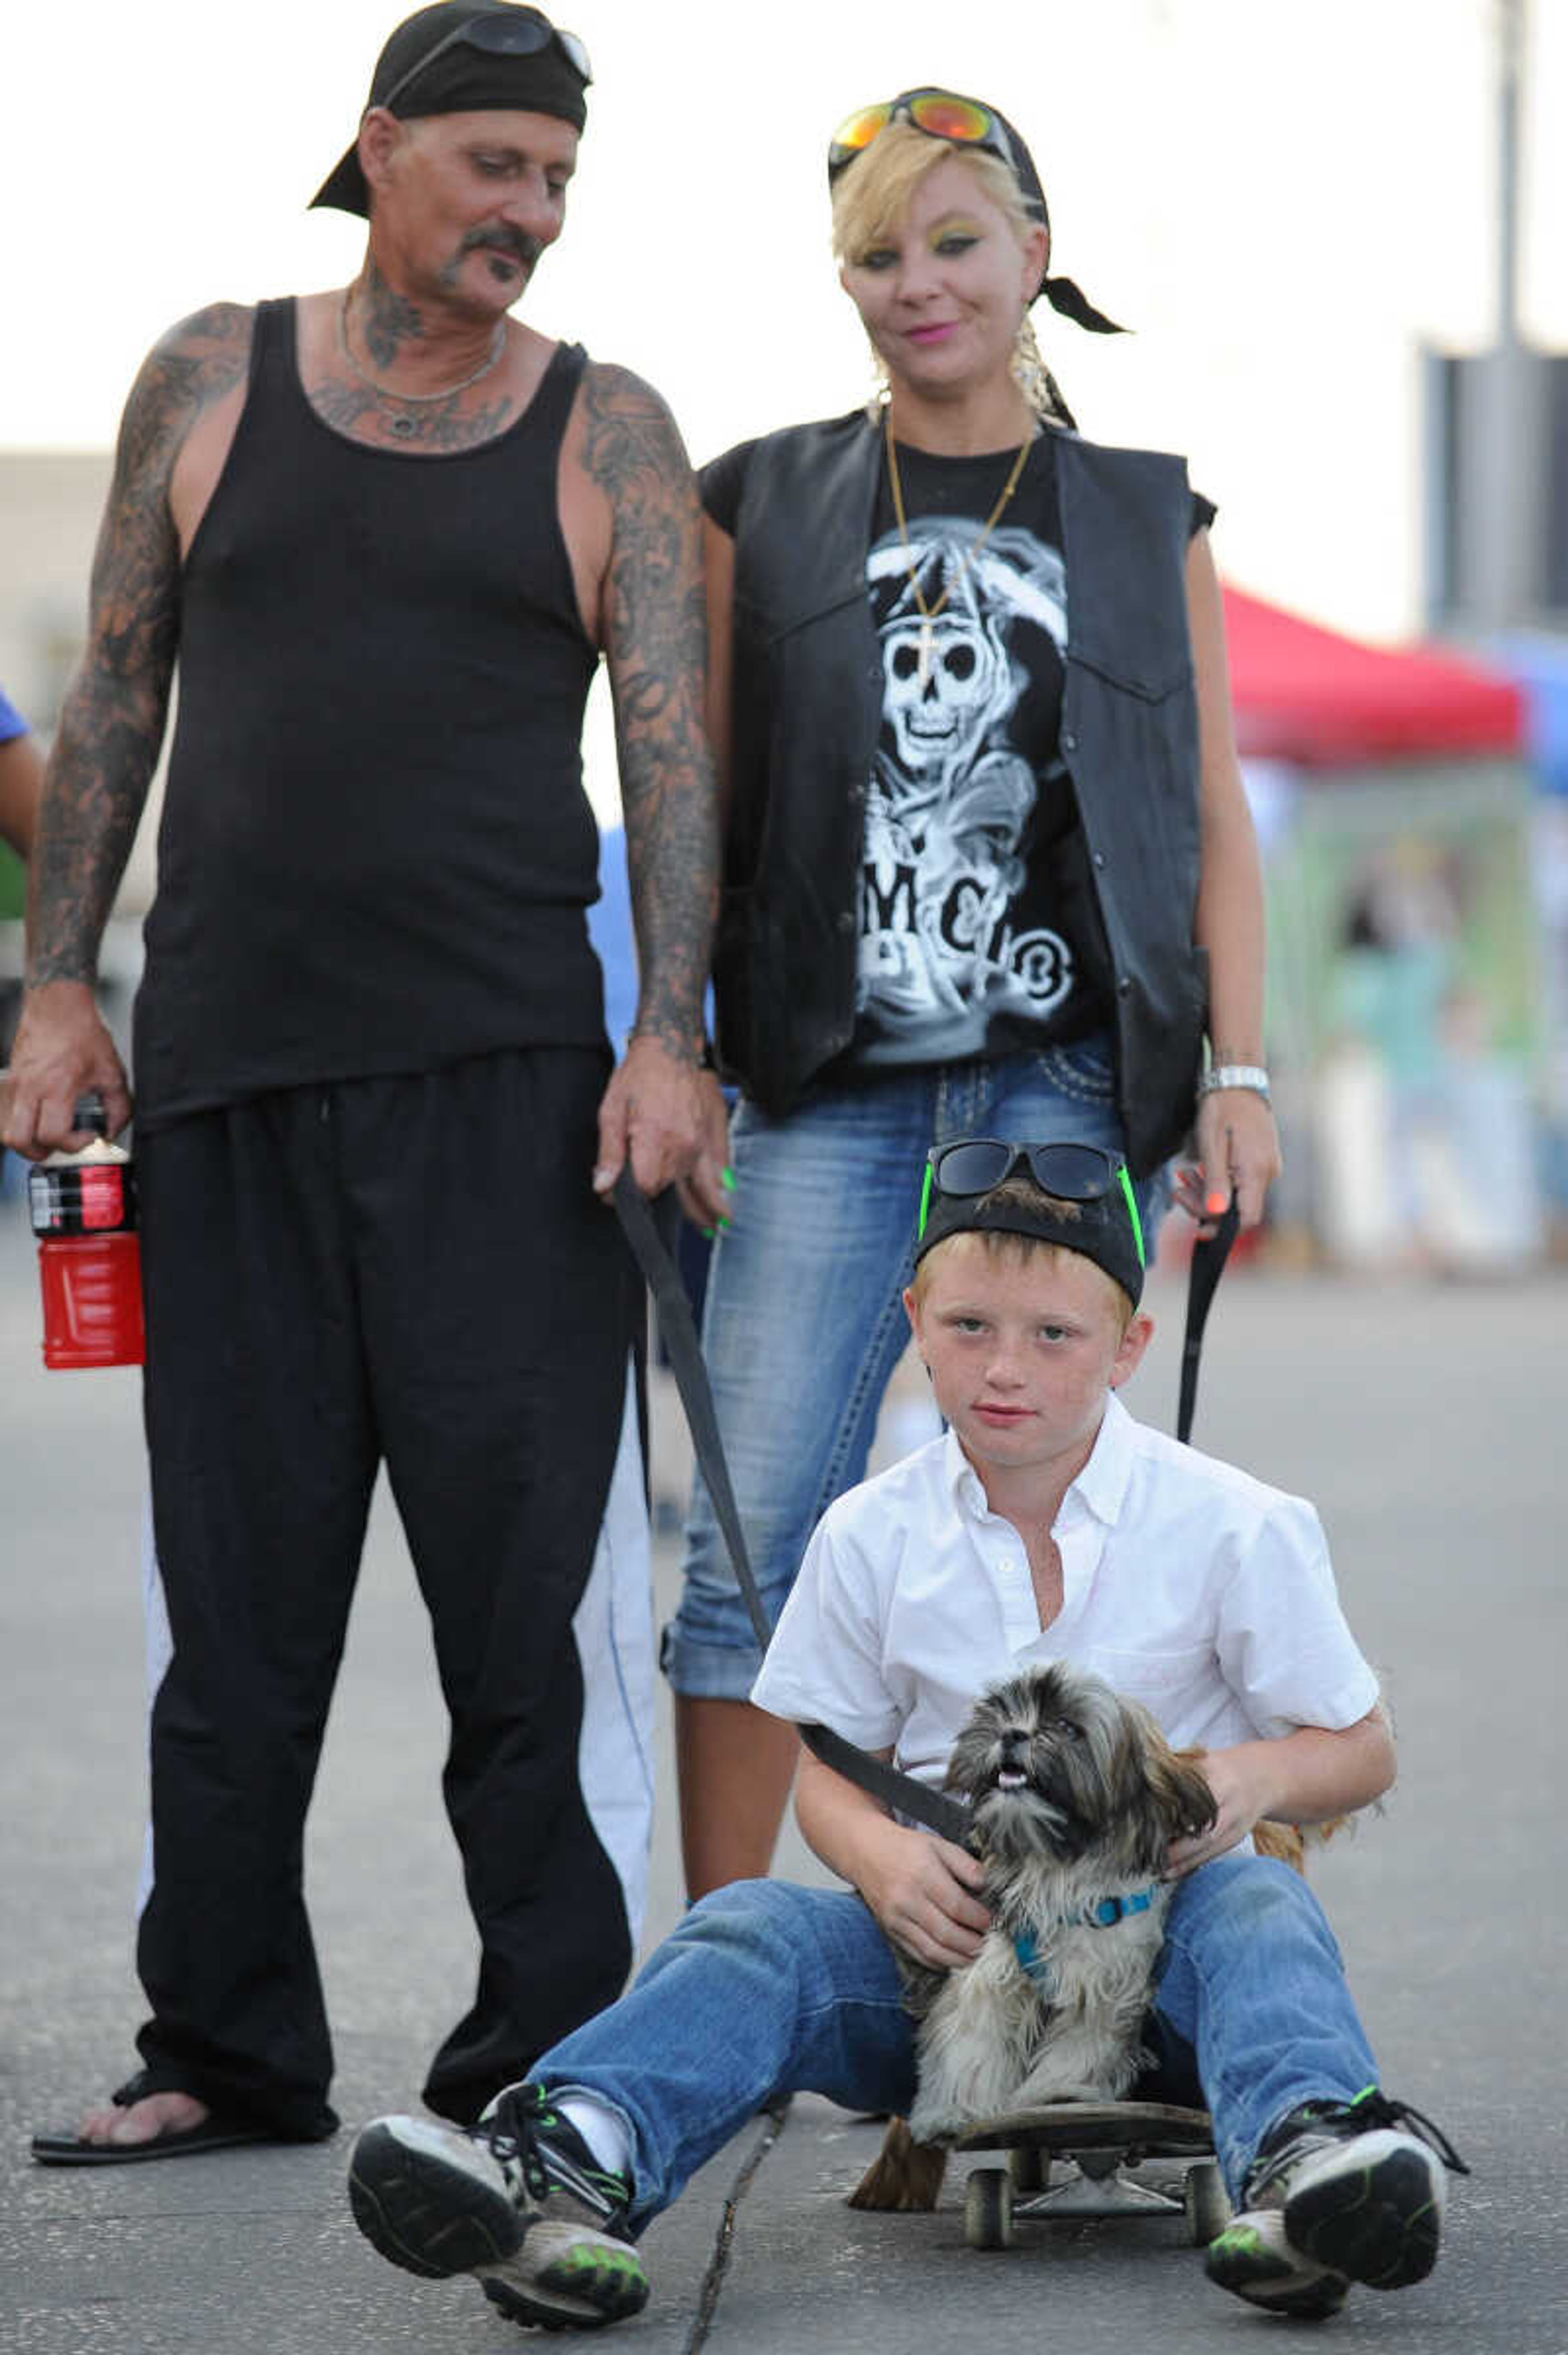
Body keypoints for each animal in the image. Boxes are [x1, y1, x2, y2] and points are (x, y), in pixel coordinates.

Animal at [857, 1658, 1205, 2204]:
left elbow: (1080, 2048)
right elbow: (972, 2043)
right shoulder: (987, 1971)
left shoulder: (1108, 1986)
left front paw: (1058, 2099)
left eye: (1068, 1727)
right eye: (1002, 1708)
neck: (1059, 1870)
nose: (1012, 1733)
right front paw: (952, 2112)